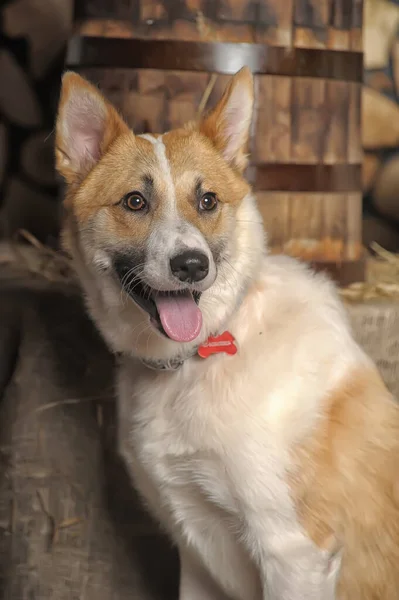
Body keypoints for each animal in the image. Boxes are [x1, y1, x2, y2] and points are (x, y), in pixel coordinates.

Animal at [54, 68, 399, 596]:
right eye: (135, 201)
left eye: (207, 200)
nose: (192, 265)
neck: (201, 353)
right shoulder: (195, 555)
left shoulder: (294, 553)